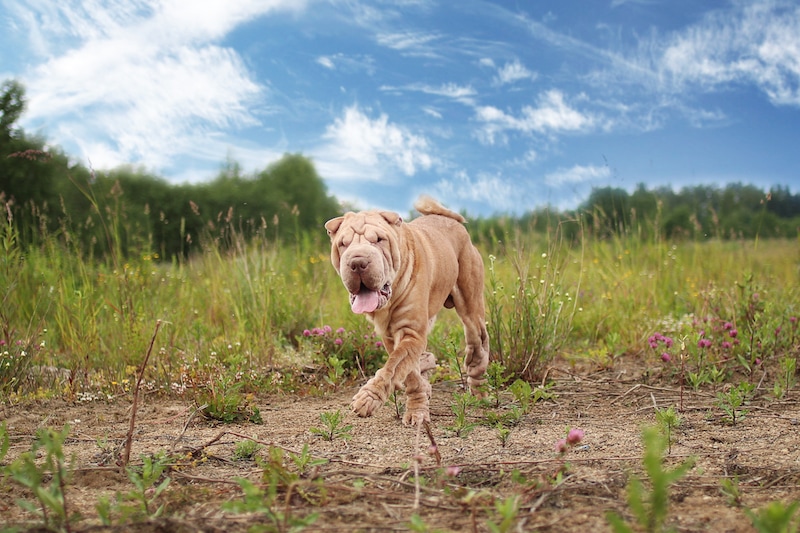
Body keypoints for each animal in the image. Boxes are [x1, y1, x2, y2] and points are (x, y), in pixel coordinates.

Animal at [324, 195, 488, 424]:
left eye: (379, 240)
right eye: (343, 244)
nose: (357, 262)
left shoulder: (410, 331)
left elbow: (393, 367)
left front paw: (368, 399)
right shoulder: (392, 336)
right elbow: (407, 372)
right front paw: (419, 403)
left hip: (470, 307)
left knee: (477, 344)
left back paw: (480, 391)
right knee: (427, 358)